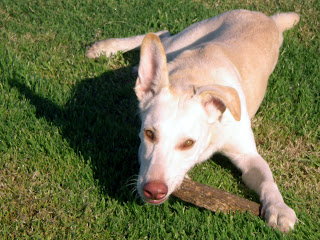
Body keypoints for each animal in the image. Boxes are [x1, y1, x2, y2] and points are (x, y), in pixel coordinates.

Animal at [87, 9, 300, 232]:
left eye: (188, 143)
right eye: (149, 134)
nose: (153, 191)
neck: (191, 79)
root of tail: (267, 18)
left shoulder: (247, 155)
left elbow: (268, 179)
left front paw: (279, 208)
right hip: (184, 38)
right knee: (161, 34)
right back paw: (104, 48)